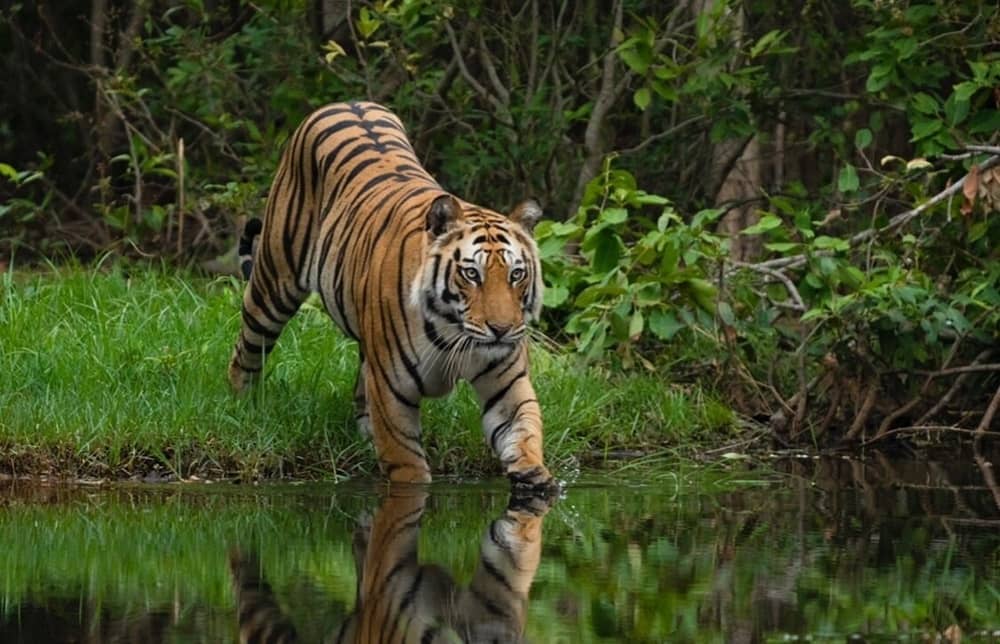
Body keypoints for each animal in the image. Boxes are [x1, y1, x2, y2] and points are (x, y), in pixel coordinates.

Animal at [228, 100, 556, 488]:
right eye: (471, 274)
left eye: (516, 274)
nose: (502, 330)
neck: (452, 331)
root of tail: (346, 102)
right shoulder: (391, 390)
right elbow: (408, 464)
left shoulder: (506, 383)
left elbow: (523, 429)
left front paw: (534, 476)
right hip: (275, 280)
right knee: (247, 350)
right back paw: (243, 408)